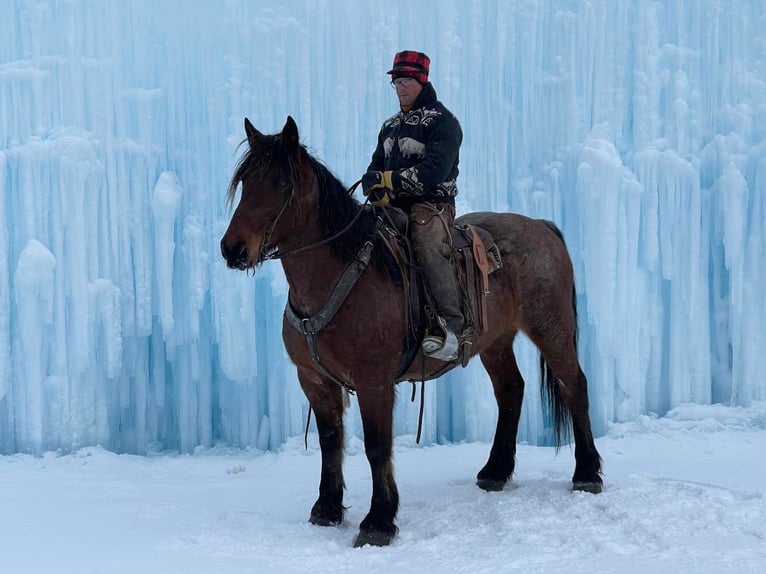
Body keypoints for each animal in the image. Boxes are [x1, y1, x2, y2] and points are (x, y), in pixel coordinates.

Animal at [219, 116, 604, 548]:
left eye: (283, 182)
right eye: (245, 181)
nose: (233, 249)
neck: (340, 273)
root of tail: (541, 226)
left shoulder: (374, 382)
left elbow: (377, 446)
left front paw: (378, 521)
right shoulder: (315, 381)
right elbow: (330, 442)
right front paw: (327, 509)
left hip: (552, 329)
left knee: (574, 385)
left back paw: (587, 473)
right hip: (495, 341)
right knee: (511, 391)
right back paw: (495, 471)